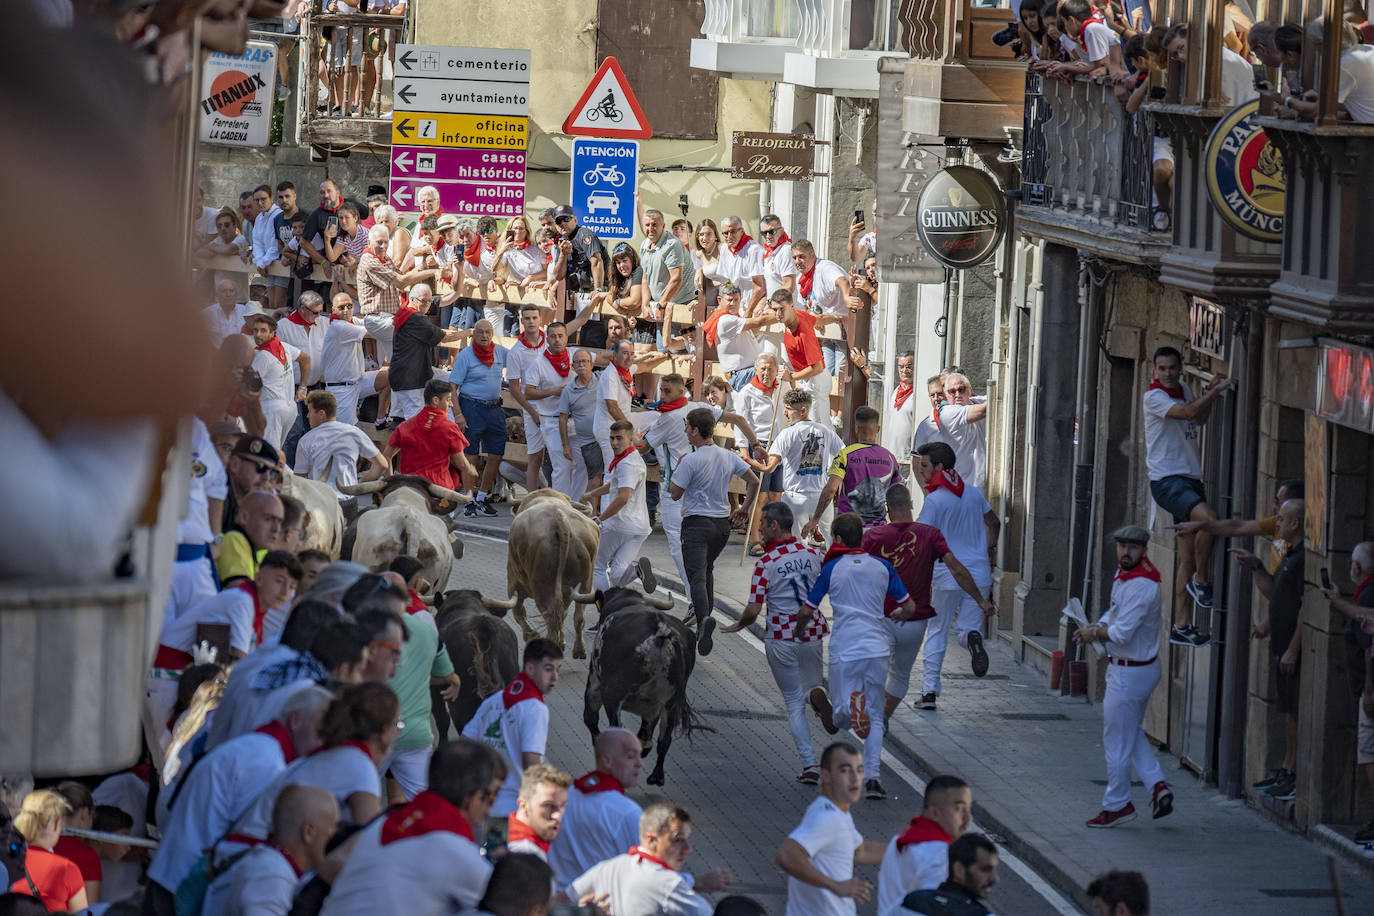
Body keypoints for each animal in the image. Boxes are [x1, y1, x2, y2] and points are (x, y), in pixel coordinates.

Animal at [500, 486, 596, 659]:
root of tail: (559, 518)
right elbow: (564, 613)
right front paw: (562, 640)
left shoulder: (514, 582)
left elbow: (518, 612)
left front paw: (531, 634)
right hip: (585, 582)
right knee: (577, 616)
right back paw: (579, 650)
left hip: (541, 585)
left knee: (551, 618)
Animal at [582, 590, 714, 785]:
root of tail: (660, 629)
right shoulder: (653, 708)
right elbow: (648, 732)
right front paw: (644, 748)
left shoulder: (594, 685)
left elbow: (590, 719)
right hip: (671, 703)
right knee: (664, 739)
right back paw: (656, 775)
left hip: (612, 694)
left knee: (617, 728)